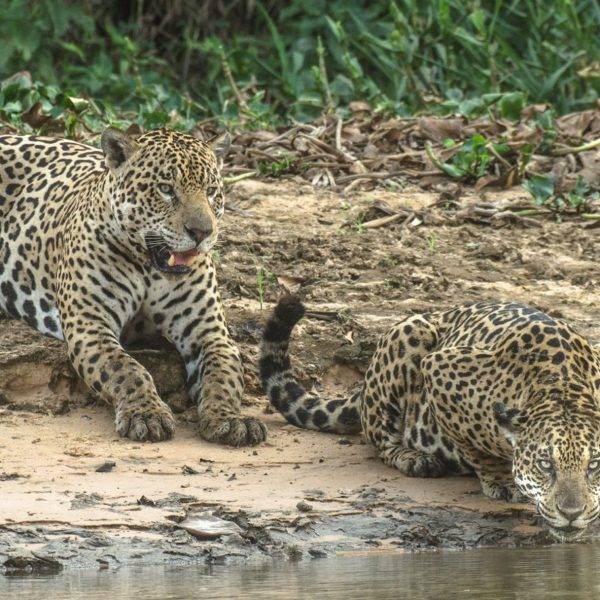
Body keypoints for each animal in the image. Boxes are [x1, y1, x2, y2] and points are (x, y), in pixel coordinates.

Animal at [0, 127, 266, 446]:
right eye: (166, 189)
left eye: (212, 191)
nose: (203, 232)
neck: (149, 268)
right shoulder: (90, 325)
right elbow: (126, 368)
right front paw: (147, 414)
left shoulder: (209, 332)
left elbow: (222, 375)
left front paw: (230, 418)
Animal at [260, 296, 600, 541]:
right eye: (545, 464)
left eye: (594, 465)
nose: (572, 512)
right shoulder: (439, 369)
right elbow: (475, 448)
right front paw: (501, 480)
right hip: (409, 336)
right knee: (381, 440)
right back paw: (415, 459)